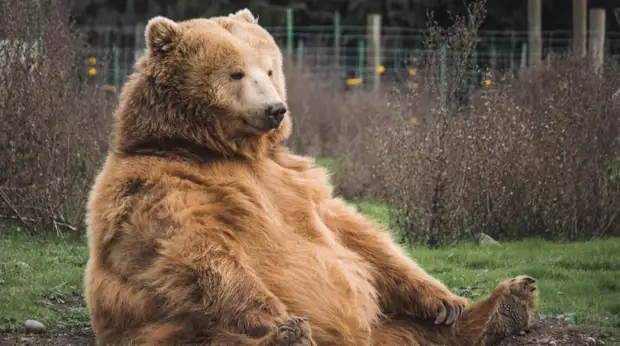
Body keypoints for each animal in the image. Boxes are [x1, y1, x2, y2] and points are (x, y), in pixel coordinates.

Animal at [83, 8, 536, 346]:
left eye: (268, 69)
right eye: (235, 73)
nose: (275, 109)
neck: (218, 148)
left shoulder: (293, 179)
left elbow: (354, 233)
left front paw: (444, 301)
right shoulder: (160, 186)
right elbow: (196, 251)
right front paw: (278, 320)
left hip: (387, 326)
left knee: (417, 331)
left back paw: (507, 302)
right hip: (162, 329)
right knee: (208, 333)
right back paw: (289, 336)